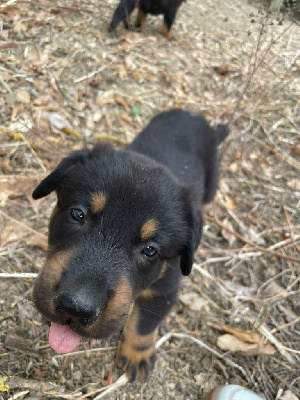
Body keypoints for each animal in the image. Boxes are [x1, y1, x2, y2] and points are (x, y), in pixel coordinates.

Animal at [32, 109, 229, 382]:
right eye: (78, 214)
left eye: (150, 250)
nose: (76, 308)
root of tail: (198, 118)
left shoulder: (164, 290)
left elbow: (144, 324)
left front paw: (138, 354)